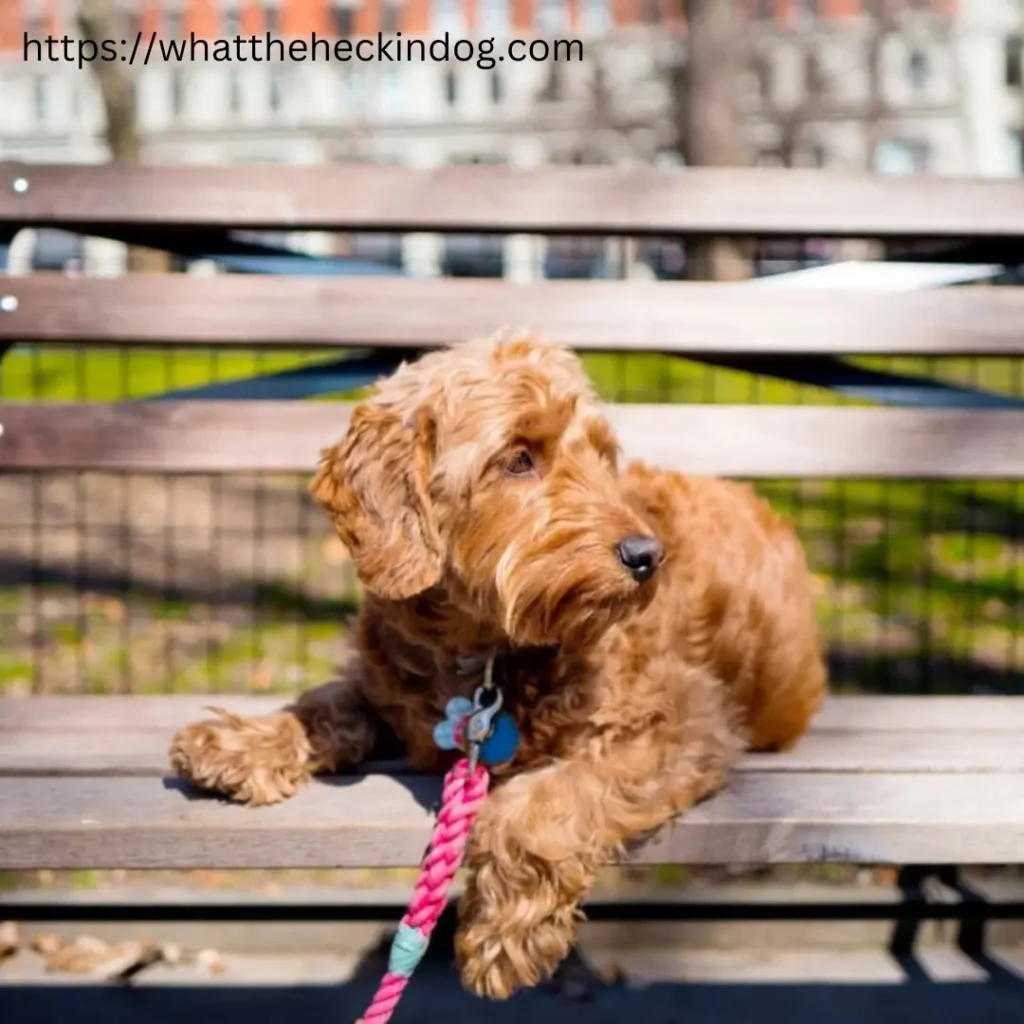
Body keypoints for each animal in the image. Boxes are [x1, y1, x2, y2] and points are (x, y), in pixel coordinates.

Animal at [165, 329, 823, 999]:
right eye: (518, 458)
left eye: (602, 456)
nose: (647, 556)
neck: (481, 651)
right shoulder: (388, 685)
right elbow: (330, 701)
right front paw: (244, 741)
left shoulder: (686, 722)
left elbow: (543, 801)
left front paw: (503, 936)